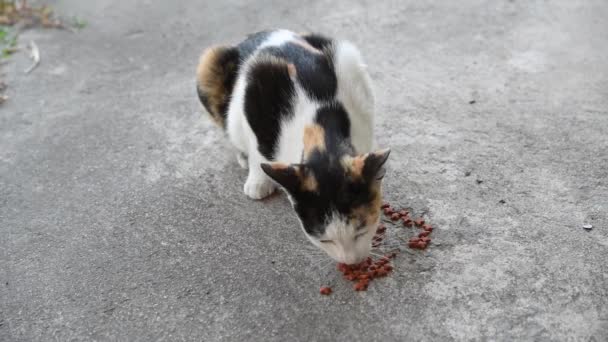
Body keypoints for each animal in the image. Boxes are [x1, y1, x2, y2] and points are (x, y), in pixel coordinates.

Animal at [197, 30, 392, 264]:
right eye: (325, 240)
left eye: (361, 231)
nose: (351, 262)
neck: (317, 120)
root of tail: (258, 35)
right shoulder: (255, 96)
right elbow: (257, 149)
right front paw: (257, 181)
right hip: (210, 64)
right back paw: (243, 158)